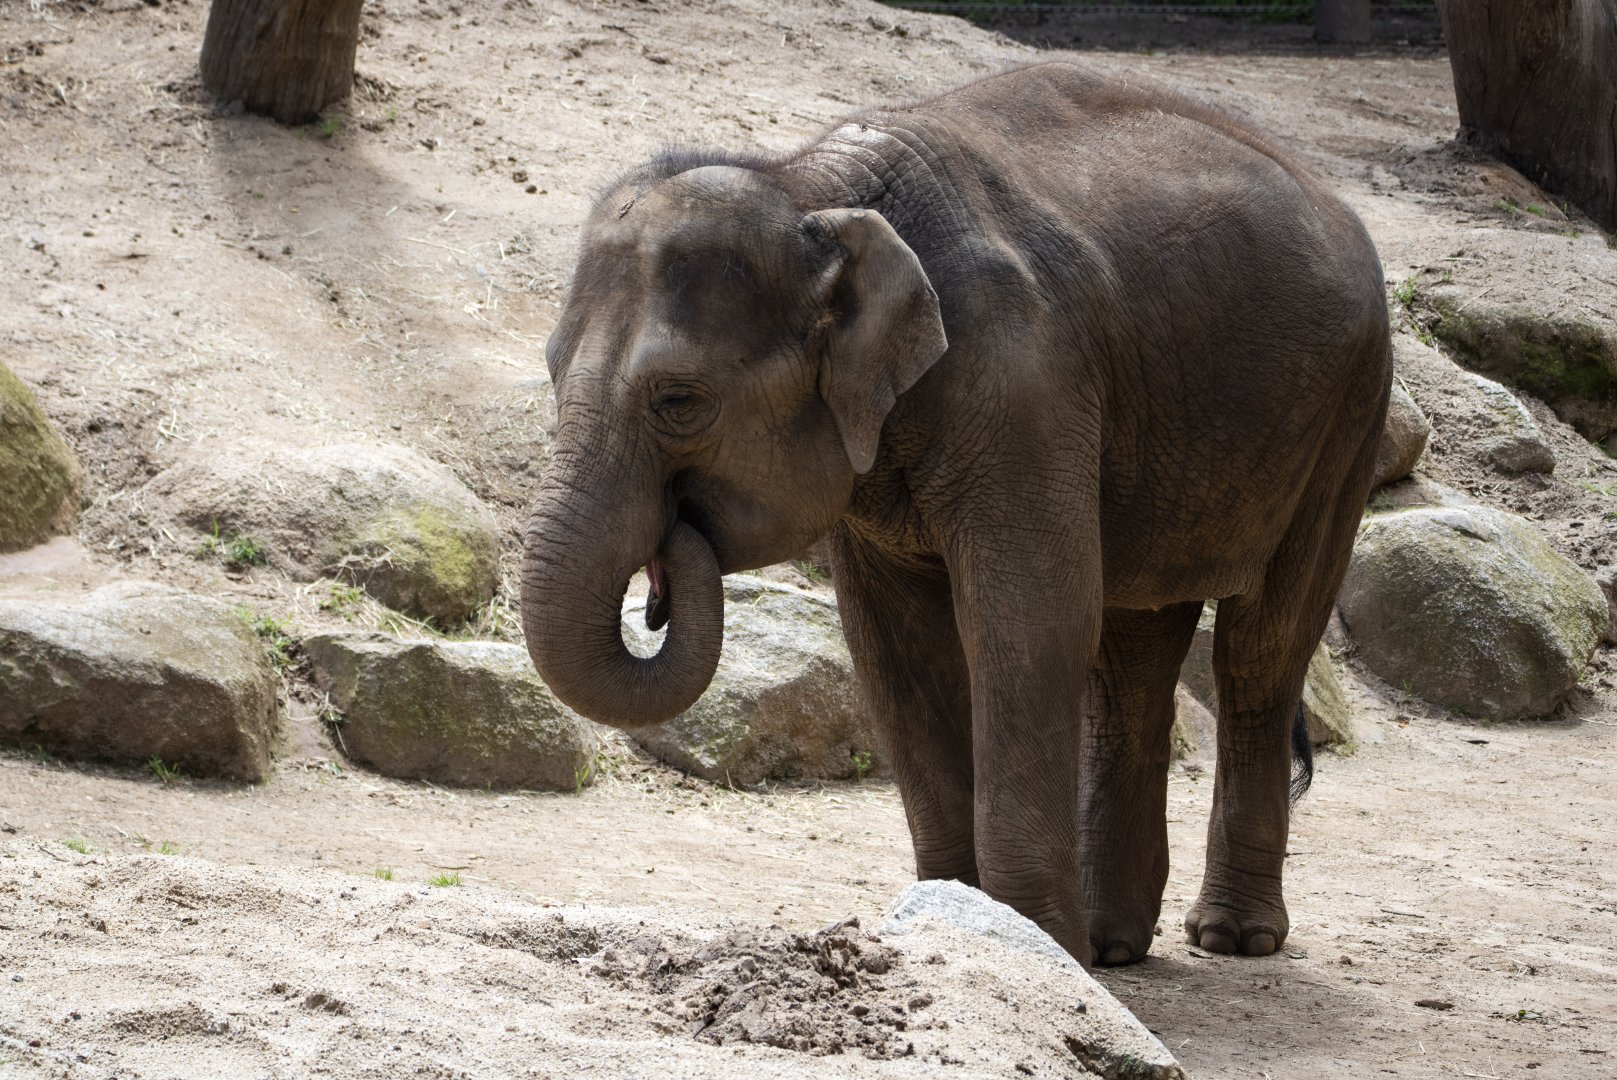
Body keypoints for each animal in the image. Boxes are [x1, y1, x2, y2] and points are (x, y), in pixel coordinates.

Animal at [520, 61, 1391, 968]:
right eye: (549, 368)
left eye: (679, 402)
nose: (665, 563)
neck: (811, 189)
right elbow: (893, 644)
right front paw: (967, 927)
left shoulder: (1026, 386)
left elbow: (1028, 622)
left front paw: (1033, 946)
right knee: (1133, 652)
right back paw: (1112, 946)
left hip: (1348, 413)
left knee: (1260, 650)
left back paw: (1226, 936)